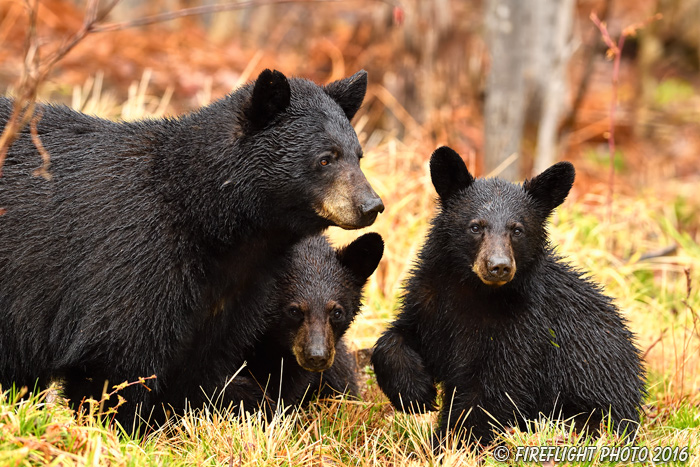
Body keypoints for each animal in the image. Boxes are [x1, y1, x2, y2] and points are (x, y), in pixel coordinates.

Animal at [372, 146, 644, 446]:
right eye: (476, 226)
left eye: (517, 229)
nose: (498, 266)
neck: (475, 292)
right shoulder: (430, 300)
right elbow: (396, 337)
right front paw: (415, 393)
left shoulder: (522, 330)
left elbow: (491, 392)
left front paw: (452, 443)